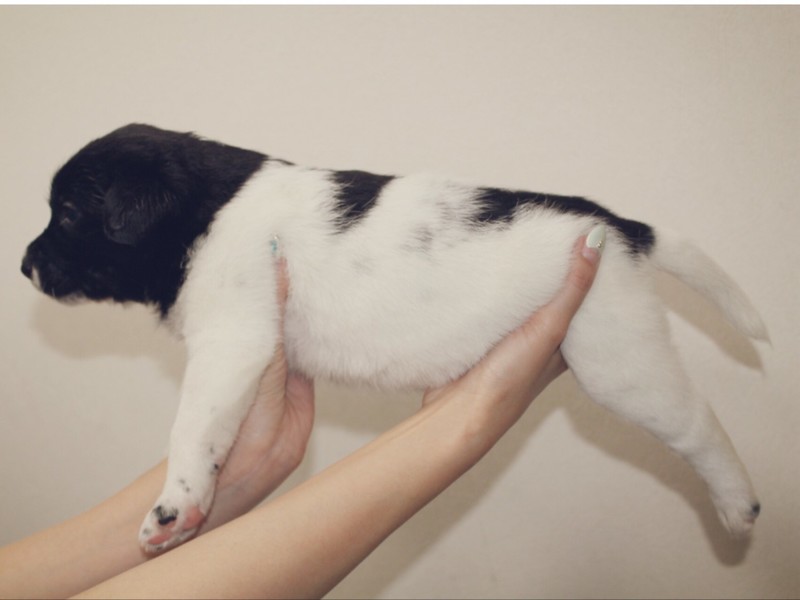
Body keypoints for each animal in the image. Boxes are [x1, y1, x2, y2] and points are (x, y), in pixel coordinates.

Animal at [21, 124, 767, 552]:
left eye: (69, 212)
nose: (24, 264)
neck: (205, 207)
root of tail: (618, 227)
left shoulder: (232, 342)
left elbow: (191, 430)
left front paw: (176, 506)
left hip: (617, 357)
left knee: (699, 425)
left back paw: (738, 503)